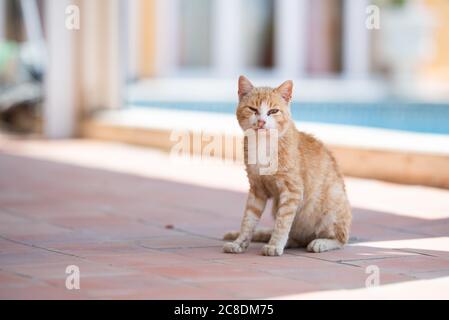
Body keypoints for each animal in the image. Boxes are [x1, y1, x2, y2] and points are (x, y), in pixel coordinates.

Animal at [222, 76, 352, 256]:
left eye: (273, 111)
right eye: (253, 109)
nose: (261, 121)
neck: (263, 144)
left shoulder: (292, 190)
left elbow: (283, 222)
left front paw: (274, 245)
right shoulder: (257, 189)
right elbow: (248, 219)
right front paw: (240, 242)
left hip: (332, 200)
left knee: (341, 239)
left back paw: (321, 242)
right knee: (297, 238)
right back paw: (286, 241)